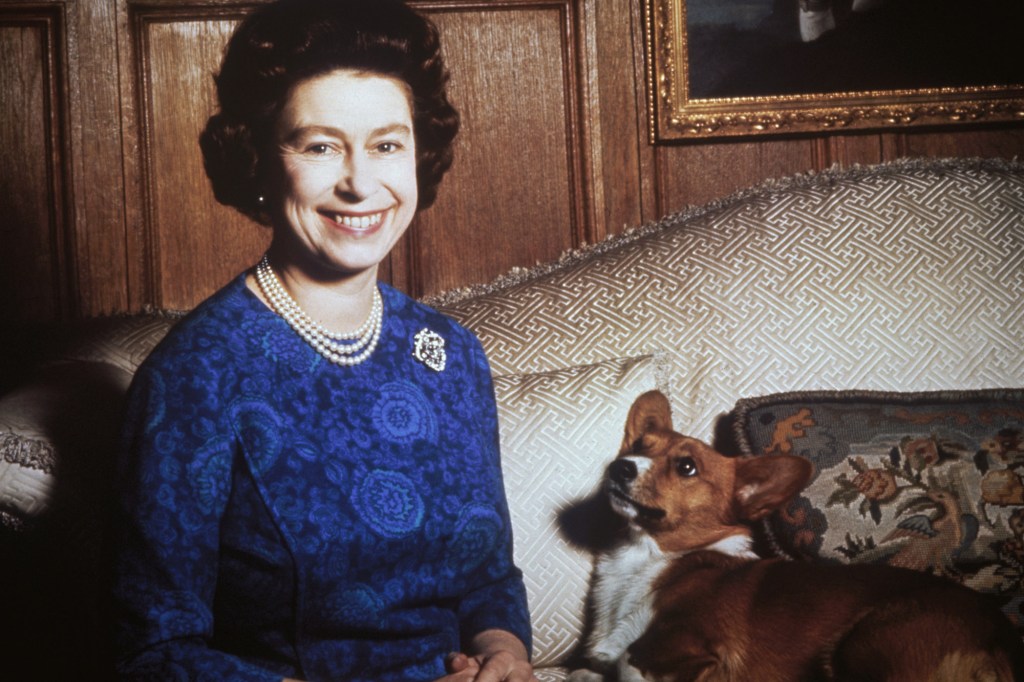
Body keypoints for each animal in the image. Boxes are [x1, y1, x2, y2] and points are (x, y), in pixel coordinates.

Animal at [569, 391, 1024, 675]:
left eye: (686, 467)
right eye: (638, 447)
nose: (620, 467)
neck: (646, 559)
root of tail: (1004, 642)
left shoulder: (694, 652)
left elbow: (628, 662)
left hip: (863, 642)